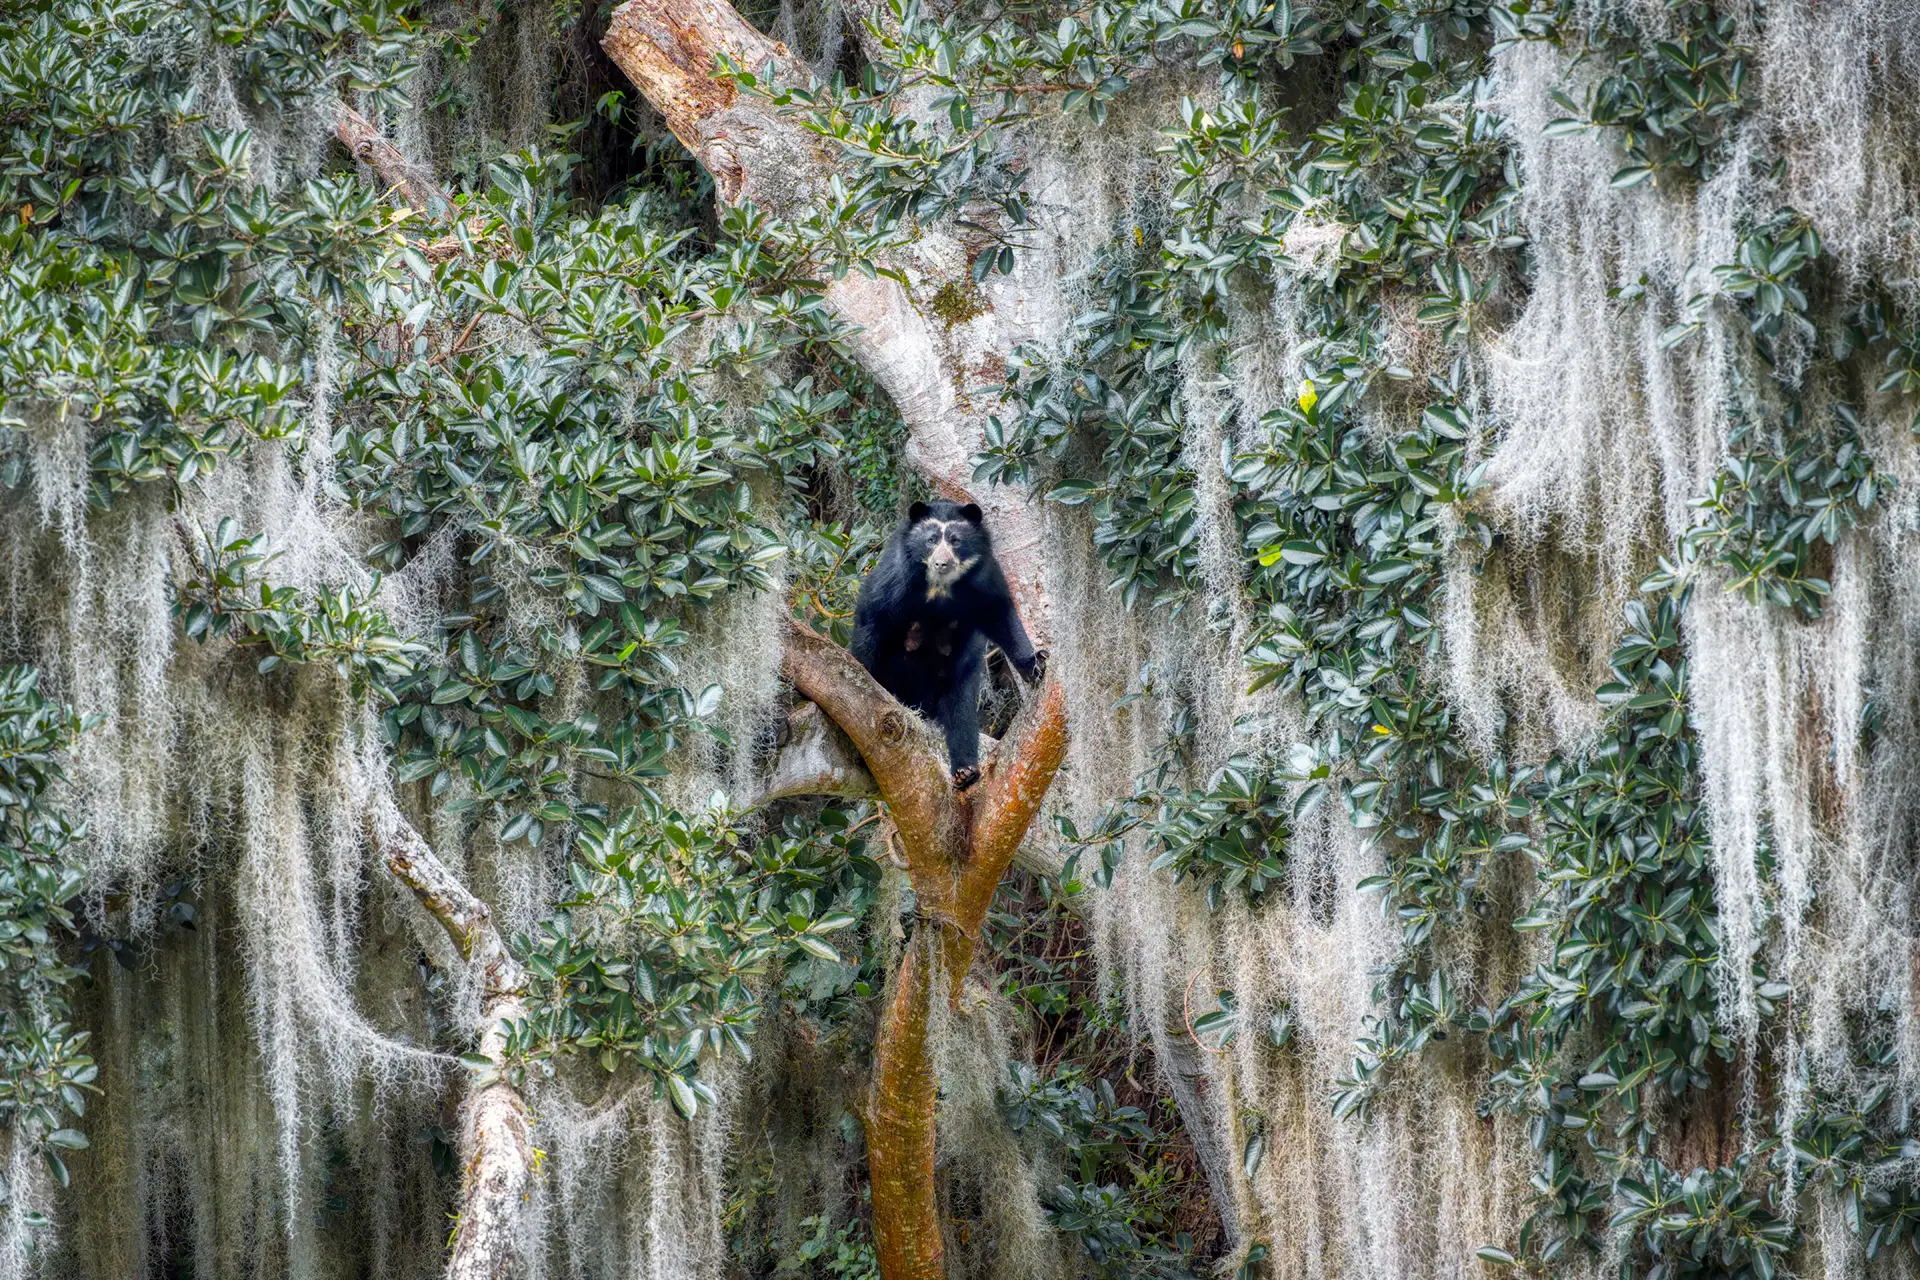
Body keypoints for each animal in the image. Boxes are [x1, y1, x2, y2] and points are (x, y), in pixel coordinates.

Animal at [850, 499, 1044, 789]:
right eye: (931, 540)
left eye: (955, 540)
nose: (942, 563)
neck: (939, 588)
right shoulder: (894, 581)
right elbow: (871, 626)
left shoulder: (984, 580)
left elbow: (1002, 617)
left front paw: (1036, 665)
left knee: (961, 708)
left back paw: (965, 772)